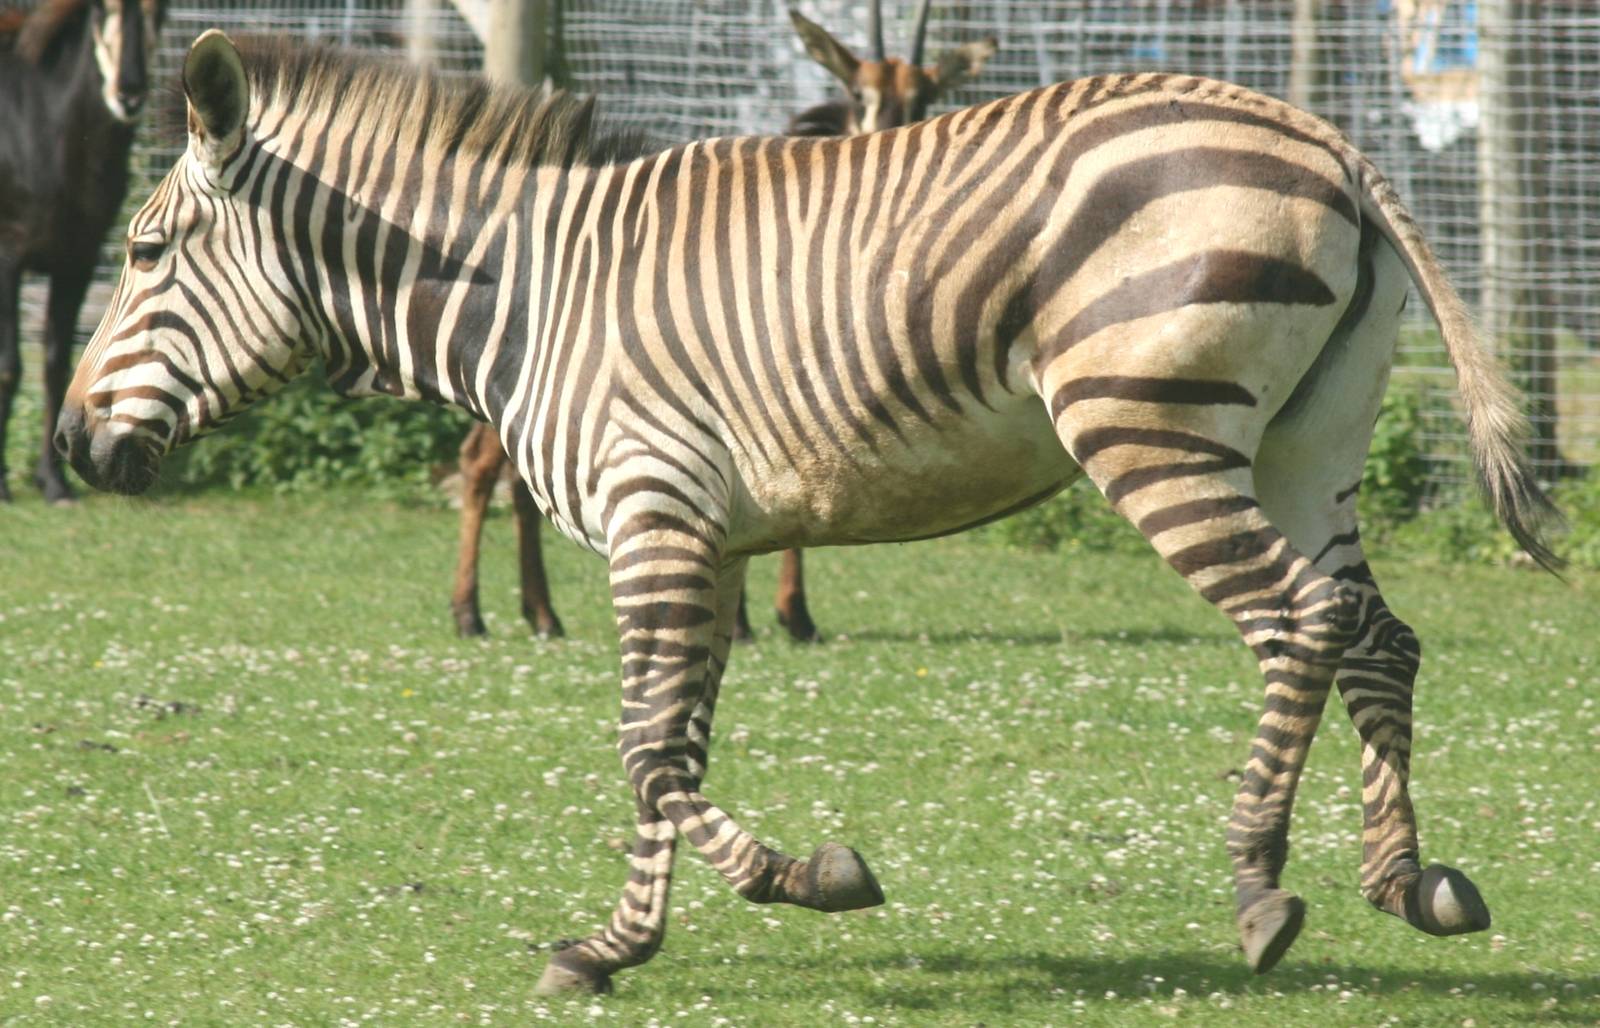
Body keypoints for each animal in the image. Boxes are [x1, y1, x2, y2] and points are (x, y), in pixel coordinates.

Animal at [57, 32, 1559, 994]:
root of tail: (1327, 141)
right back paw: (1407, 879)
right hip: (1311, 442)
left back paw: (1258, 883)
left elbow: (647, 744)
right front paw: (633, 938)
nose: (67, 443)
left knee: (1298, 619)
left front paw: (776, 887)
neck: (526, 291)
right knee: (1374, 629)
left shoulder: (653, 510)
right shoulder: (708, 535)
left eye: (144, 251)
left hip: (1151, 423)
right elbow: (677, 741)